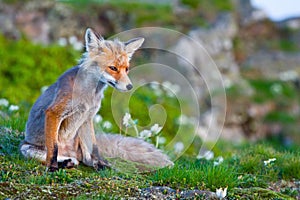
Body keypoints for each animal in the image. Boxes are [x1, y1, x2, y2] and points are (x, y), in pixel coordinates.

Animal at [20, 28, 173, 172]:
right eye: (113, 68)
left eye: (127, 69)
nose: (130, 86)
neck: (89, 95)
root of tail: (71, 153)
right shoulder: (55, 112)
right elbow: (53, 148)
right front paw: (52, 168)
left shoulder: (88, 117)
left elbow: (94, 148)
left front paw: (101, 164)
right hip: (26, 148)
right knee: (52, 155)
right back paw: (65, 161)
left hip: (81, 134)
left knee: (86, 159)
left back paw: (98, 164)